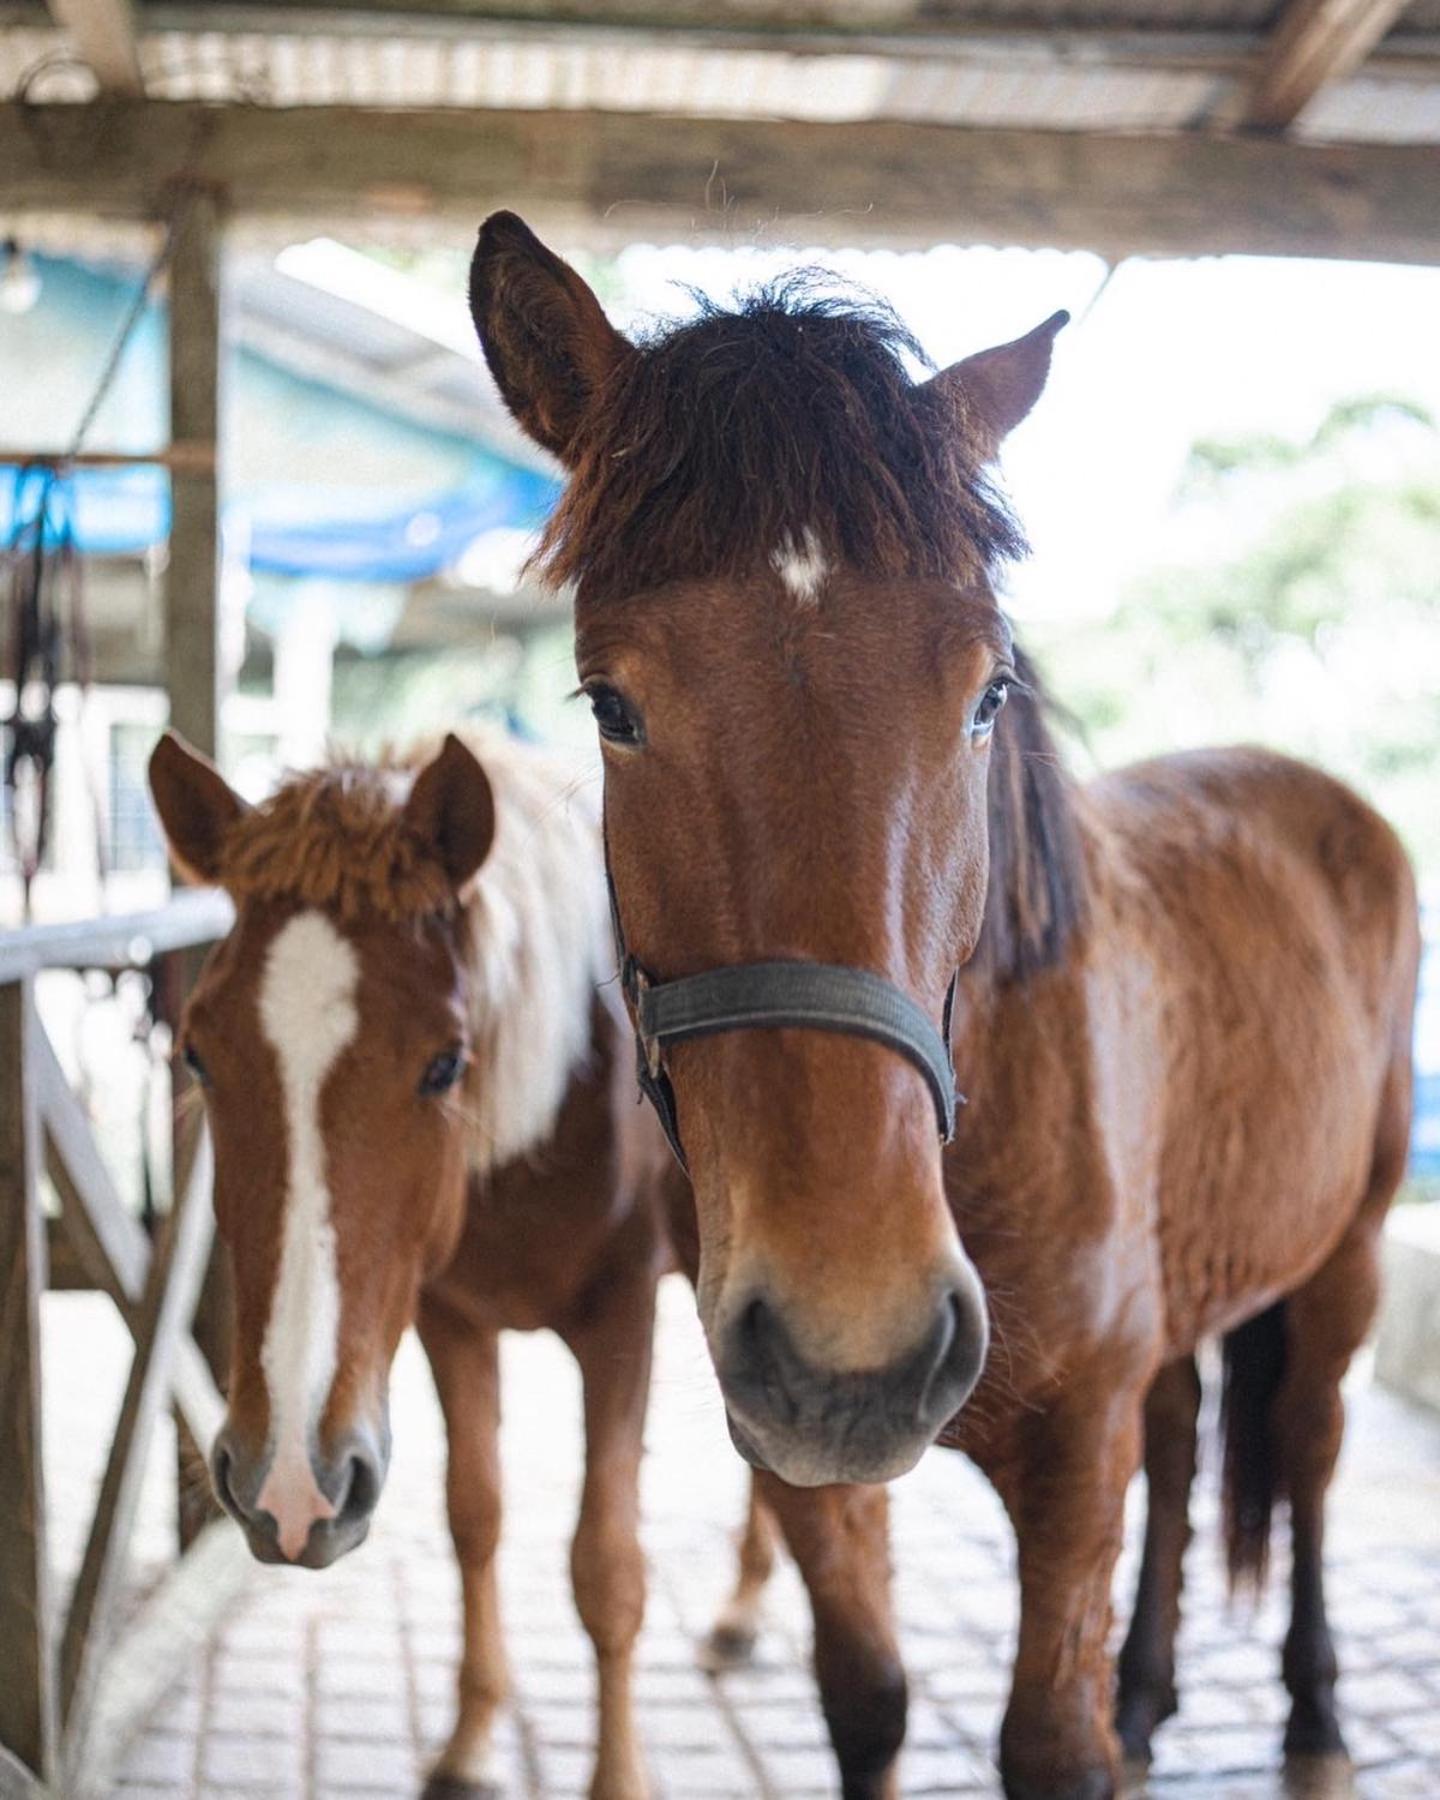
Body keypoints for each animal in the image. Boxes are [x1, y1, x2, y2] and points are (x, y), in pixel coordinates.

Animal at [152, 727, 676, 1800]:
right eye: (197, 1056)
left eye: (444, 1063)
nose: (289, 1483)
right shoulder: (449, 1319)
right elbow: (473, 1515)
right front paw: (472, 1739)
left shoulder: (626, 1317)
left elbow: (607, 1570)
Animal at [468, 217, 1418, 1800]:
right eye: (610, 704)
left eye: (986, 695)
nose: (858, 1343)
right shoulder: (797, 1460)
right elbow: (867, 1699)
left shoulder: (1075, 1456)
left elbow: (1051, 1742)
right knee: (1189, 1438)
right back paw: (1152, 1691)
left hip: (1343, 1258)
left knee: (1310, 1449)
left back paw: (1316, 1717)